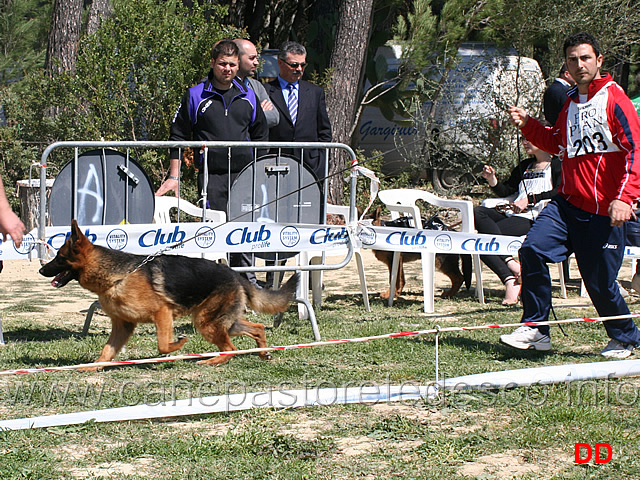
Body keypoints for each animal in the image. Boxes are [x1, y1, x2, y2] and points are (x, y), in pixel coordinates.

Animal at [40, 219, 300, 370]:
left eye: (59, 258)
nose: (41, 270)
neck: (117, 275)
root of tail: (235, 275)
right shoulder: (123, 325)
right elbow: (107, 351)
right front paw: (92, 367)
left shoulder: (162, 313)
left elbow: (163, 345)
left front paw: (179, 345)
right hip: (221, 322)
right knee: (257, 328)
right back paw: (263, 353)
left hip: (206, 323)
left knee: (230, 348)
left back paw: (211, 360)